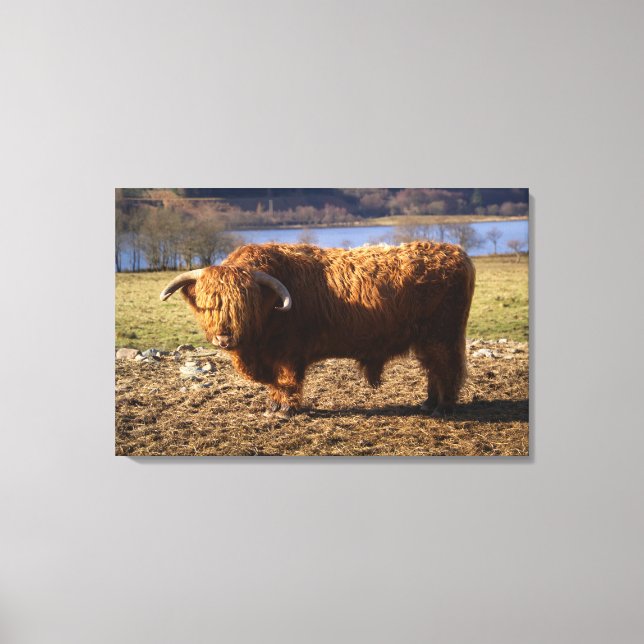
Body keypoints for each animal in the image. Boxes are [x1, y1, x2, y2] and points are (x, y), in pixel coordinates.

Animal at [160, 241, 475, 417]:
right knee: (433, 369)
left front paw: (286, 410)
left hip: (442, 335)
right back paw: (428, 403)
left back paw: (443, 408)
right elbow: (275, 384)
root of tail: (457, 252)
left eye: (244, 305)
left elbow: (287, 381)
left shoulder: (288, 354)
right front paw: (273, 407)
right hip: (427, 339)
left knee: (447, 369)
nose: (224, 337)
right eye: (209, 305)